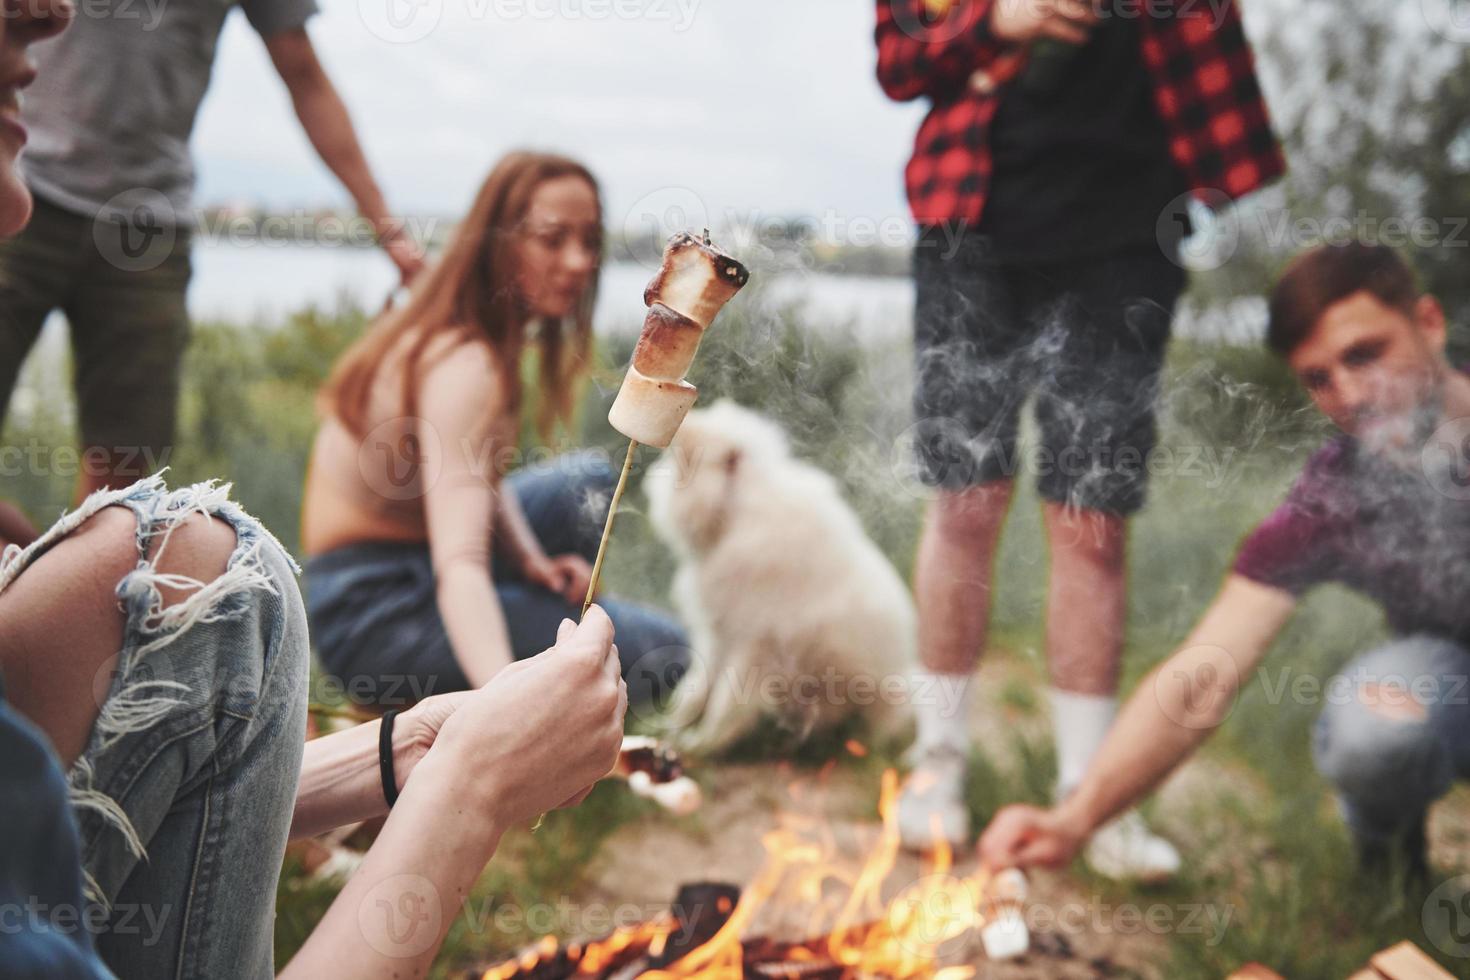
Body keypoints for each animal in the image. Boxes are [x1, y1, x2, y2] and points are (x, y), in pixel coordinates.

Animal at [646, 402, 911, 758]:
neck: (735, 516)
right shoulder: (717, 636)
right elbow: (694, 689)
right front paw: (672, 731)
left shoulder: (754, 646)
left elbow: (724, 702)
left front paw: (701, 745)